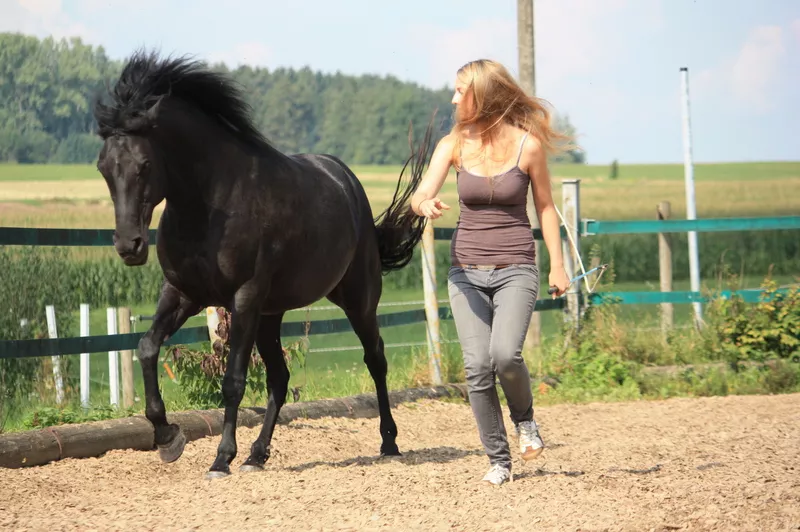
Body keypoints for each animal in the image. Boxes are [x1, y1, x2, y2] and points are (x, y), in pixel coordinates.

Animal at [94, 52, 438, 480]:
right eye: (103, 167)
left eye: (143, 165)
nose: (129, 245)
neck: (211, 204)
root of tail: (348, 182)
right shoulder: (183, 293)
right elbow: (146, 347)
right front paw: (167, 437)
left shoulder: (243, 297)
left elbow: (233, 381)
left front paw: (221, 459)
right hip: (270, 315)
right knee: (279, 377)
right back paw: (257, 455)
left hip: (357, 300)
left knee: (375, 359)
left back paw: (389, 443)